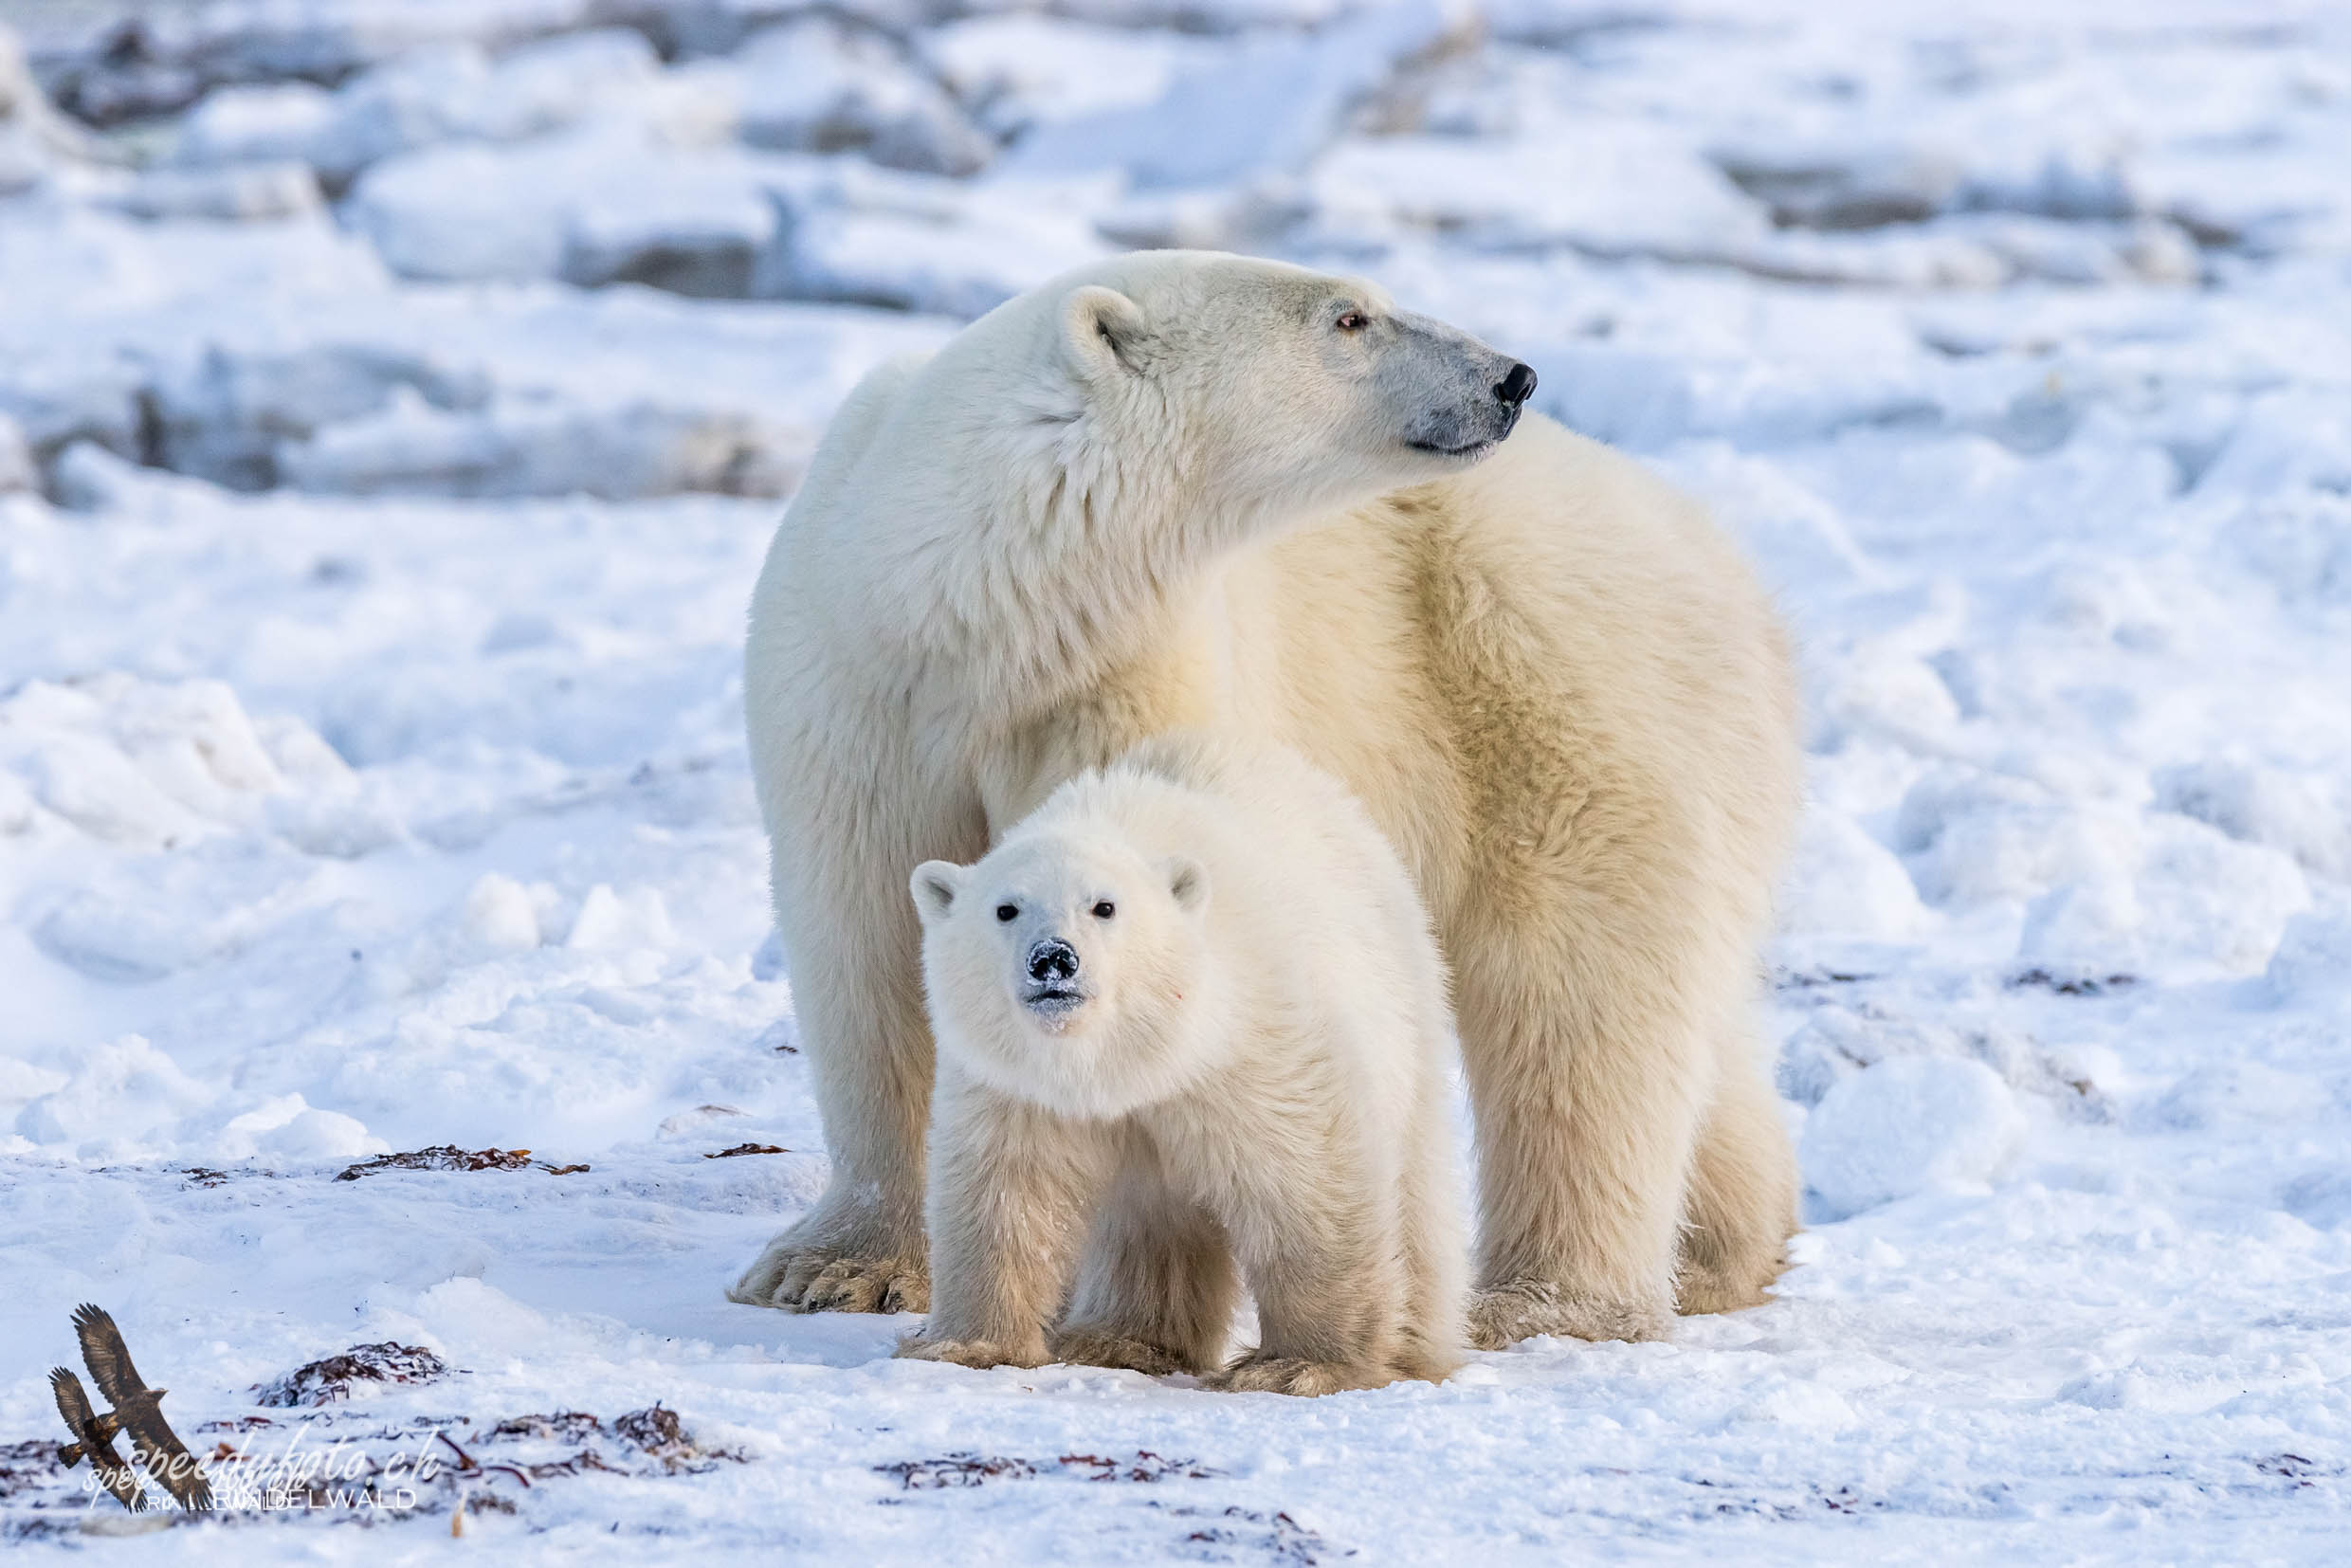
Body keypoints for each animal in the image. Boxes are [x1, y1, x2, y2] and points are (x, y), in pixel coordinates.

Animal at [733, 247, 1795, 1354]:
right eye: (1349, 317)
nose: (1512, 377)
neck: (974, 610)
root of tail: (1725, 565)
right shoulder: (856, 696)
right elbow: (868, 946)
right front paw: (833, 1265)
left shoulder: (1131, 674)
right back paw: (1720, 1251)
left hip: (1554, 687)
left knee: (1575, 997)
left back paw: (1545, 1298)